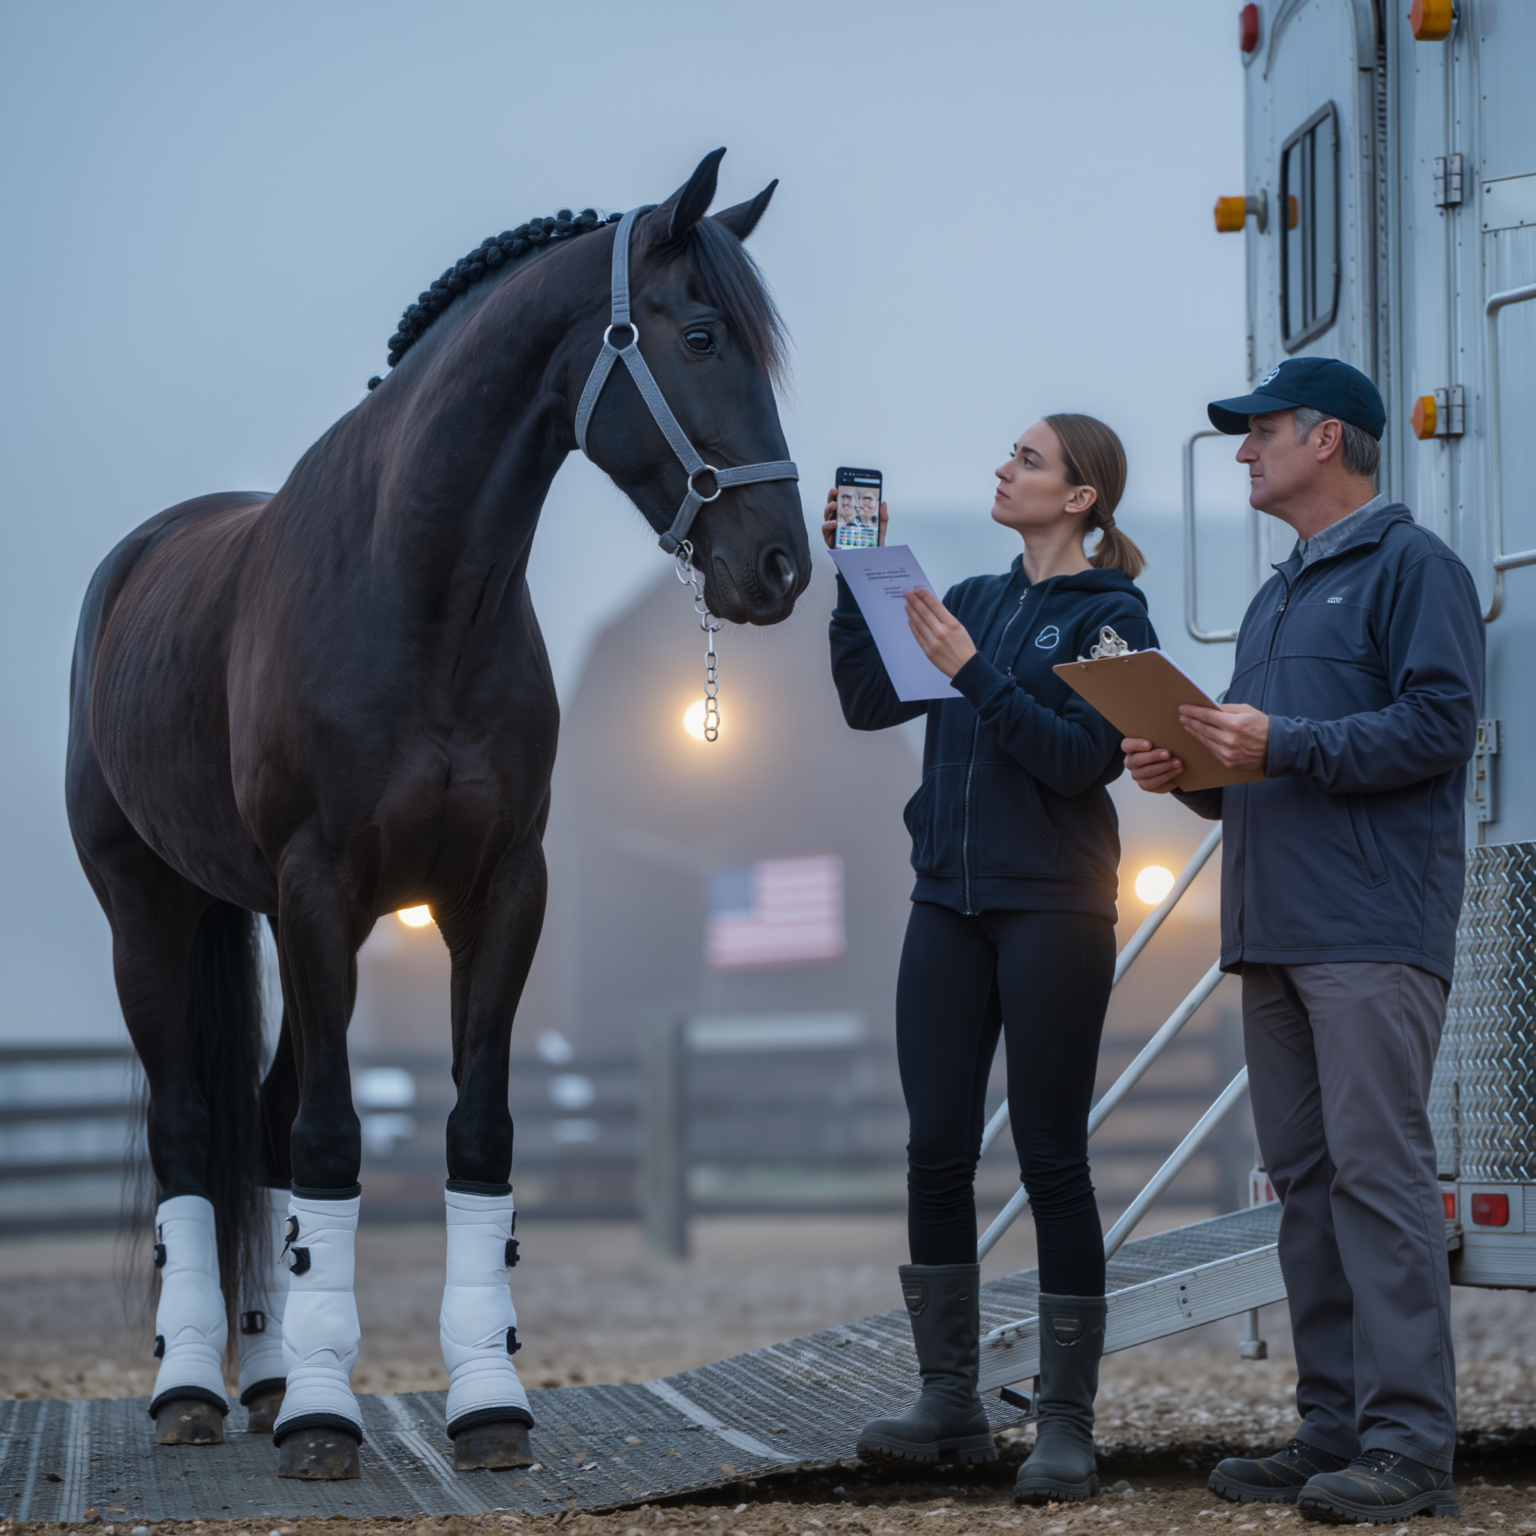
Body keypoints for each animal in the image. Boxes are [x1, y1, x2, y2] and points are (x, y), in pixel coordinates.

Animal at [65, 148, 810, 1481]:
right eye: (702, 333)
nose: (781, 565)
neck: (416, 593)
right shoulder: (317, 889)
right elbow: (331, 1142)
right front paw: (323, 1417)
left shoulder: (499, 891)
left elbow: (477, 1134)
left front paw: (486, 1403)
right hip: (150, 911)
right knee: (196, 1133)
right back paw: (195, 1388)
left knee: (260, 1122)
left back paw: (264, 1376)